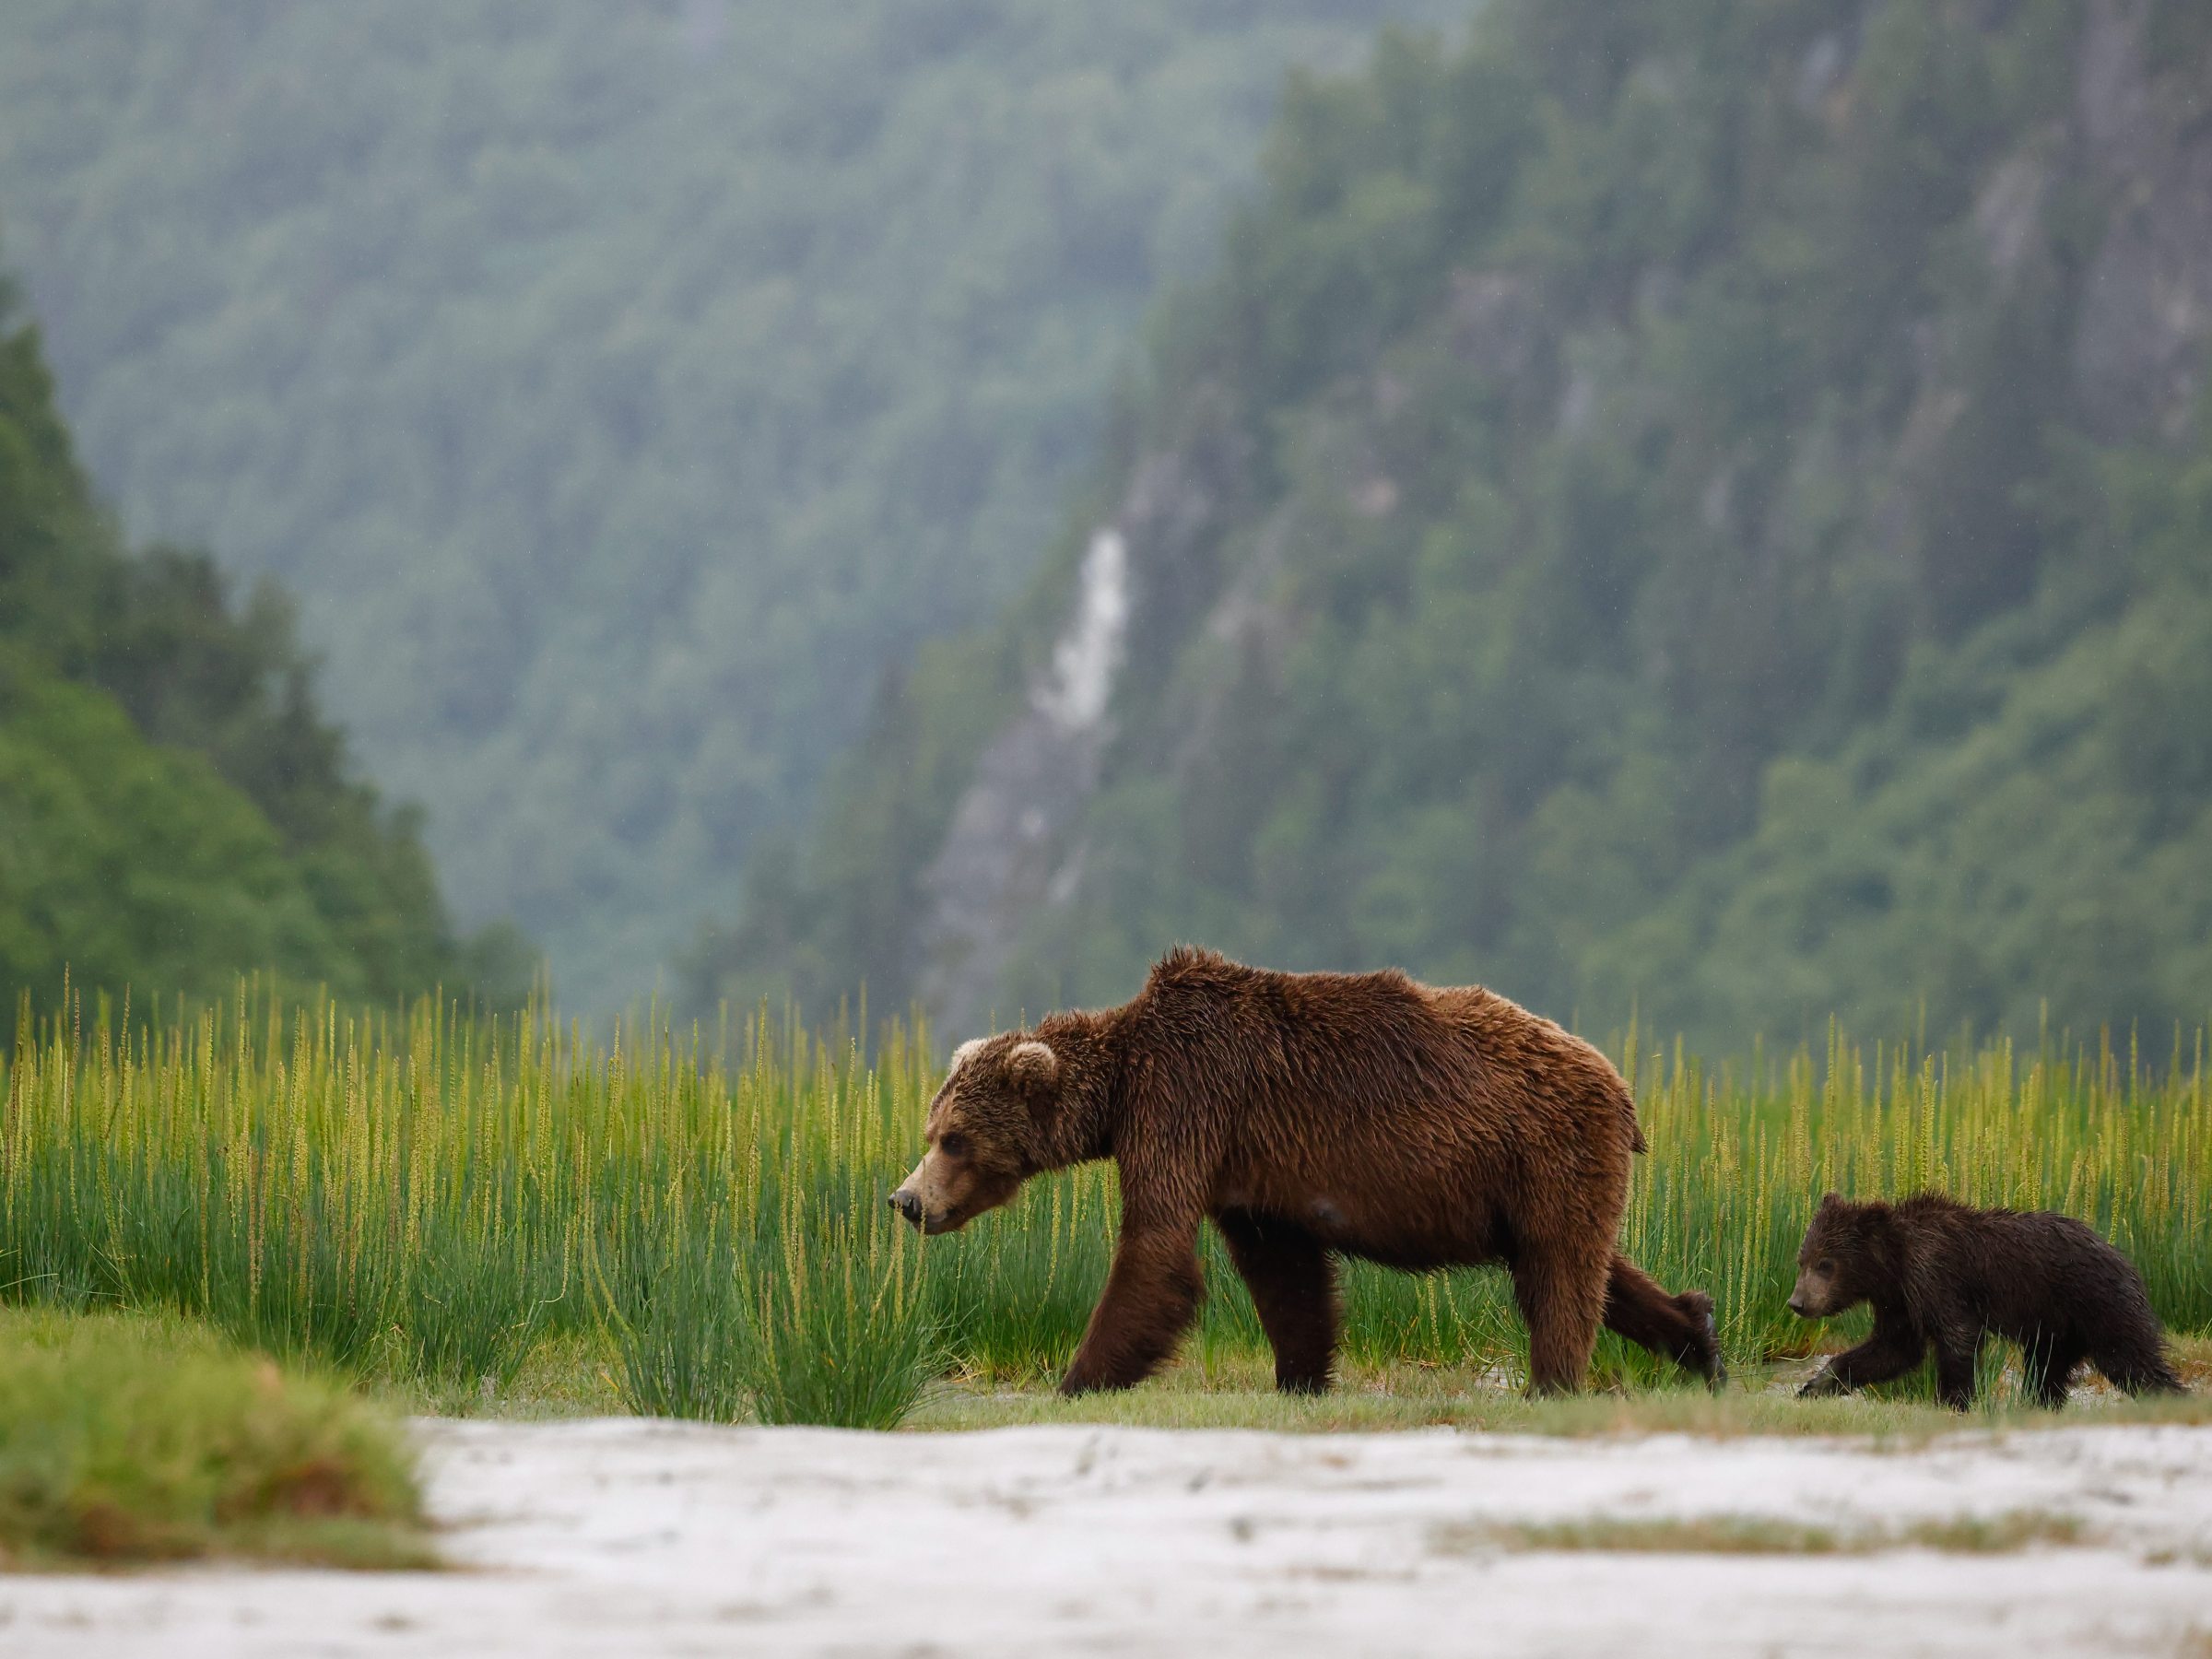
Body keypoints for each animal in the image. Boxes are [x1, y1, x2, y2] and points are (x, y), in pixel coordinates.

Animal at [887, 946, 1723, 1396]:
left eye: (954, 1139)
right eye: (933, 1129)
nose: (906, 1200)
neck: (1121, 1084)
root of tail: (1620, 1085)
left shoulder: (1186, 1106)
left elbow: (1156, 1255)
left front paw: (1077, 1379)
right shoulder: (1249, 1169)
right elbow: (1285, 1275)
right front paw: (1301, 1374)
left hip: (1542, 1147)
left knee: (1559, 1274)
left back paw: (1549, 1382)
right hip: (1536, 1179)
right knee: (1594, 1264)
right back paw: (1699, 1336)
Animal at [1788, 1191, 2183, 1410]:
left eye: (1826, 1264)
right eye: (1802, 1259)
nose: (1798, 1302)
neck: (1893, 1264)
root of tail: (2127, 1261)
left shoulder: (1936, 1275)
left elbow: (1958, 1336)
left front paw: (1953, 1401)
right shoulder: (1900, 1300)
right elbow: (1893, 1348)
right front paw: (1814, 1386)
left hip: (2099, 1303)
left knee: (2130, 1360)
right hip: (2057, 1329)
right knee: (2046, 1371)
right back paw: (2037, 1406)